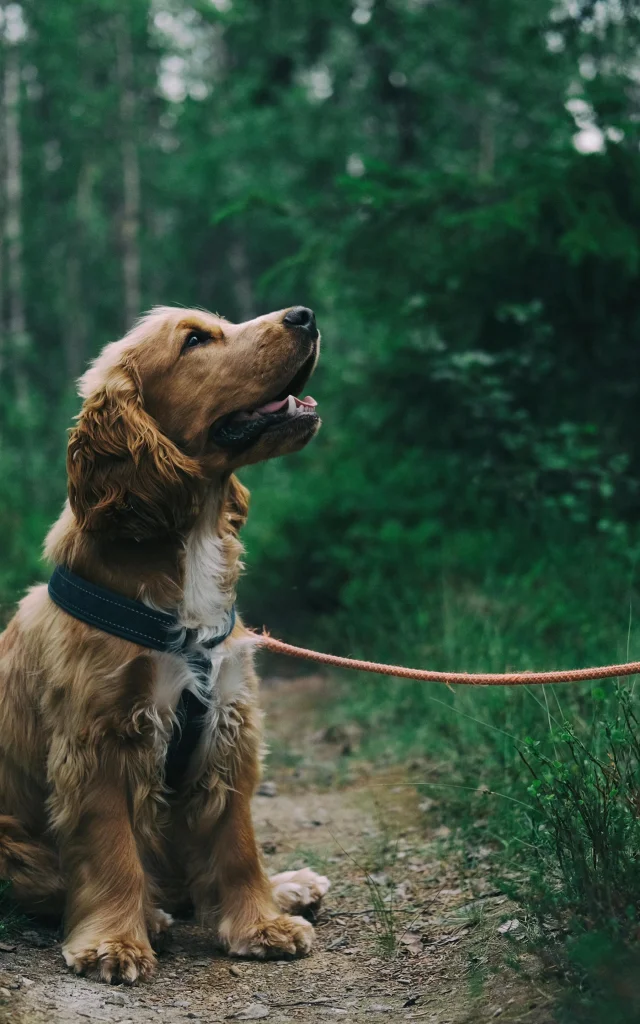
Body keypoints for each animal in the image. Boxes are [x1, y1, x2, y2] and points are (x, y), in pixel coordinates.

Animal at [0, 303, 329, 983]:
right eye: (195, 340)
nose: (305, 314)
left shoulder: (228, 722)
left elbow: (237, 841)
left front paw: (260, 923)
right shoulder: (99, 738)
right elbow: (111, 848)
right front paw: (114, 942)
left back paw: (288, 886)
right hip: (8, 838)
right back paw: (149, 915)